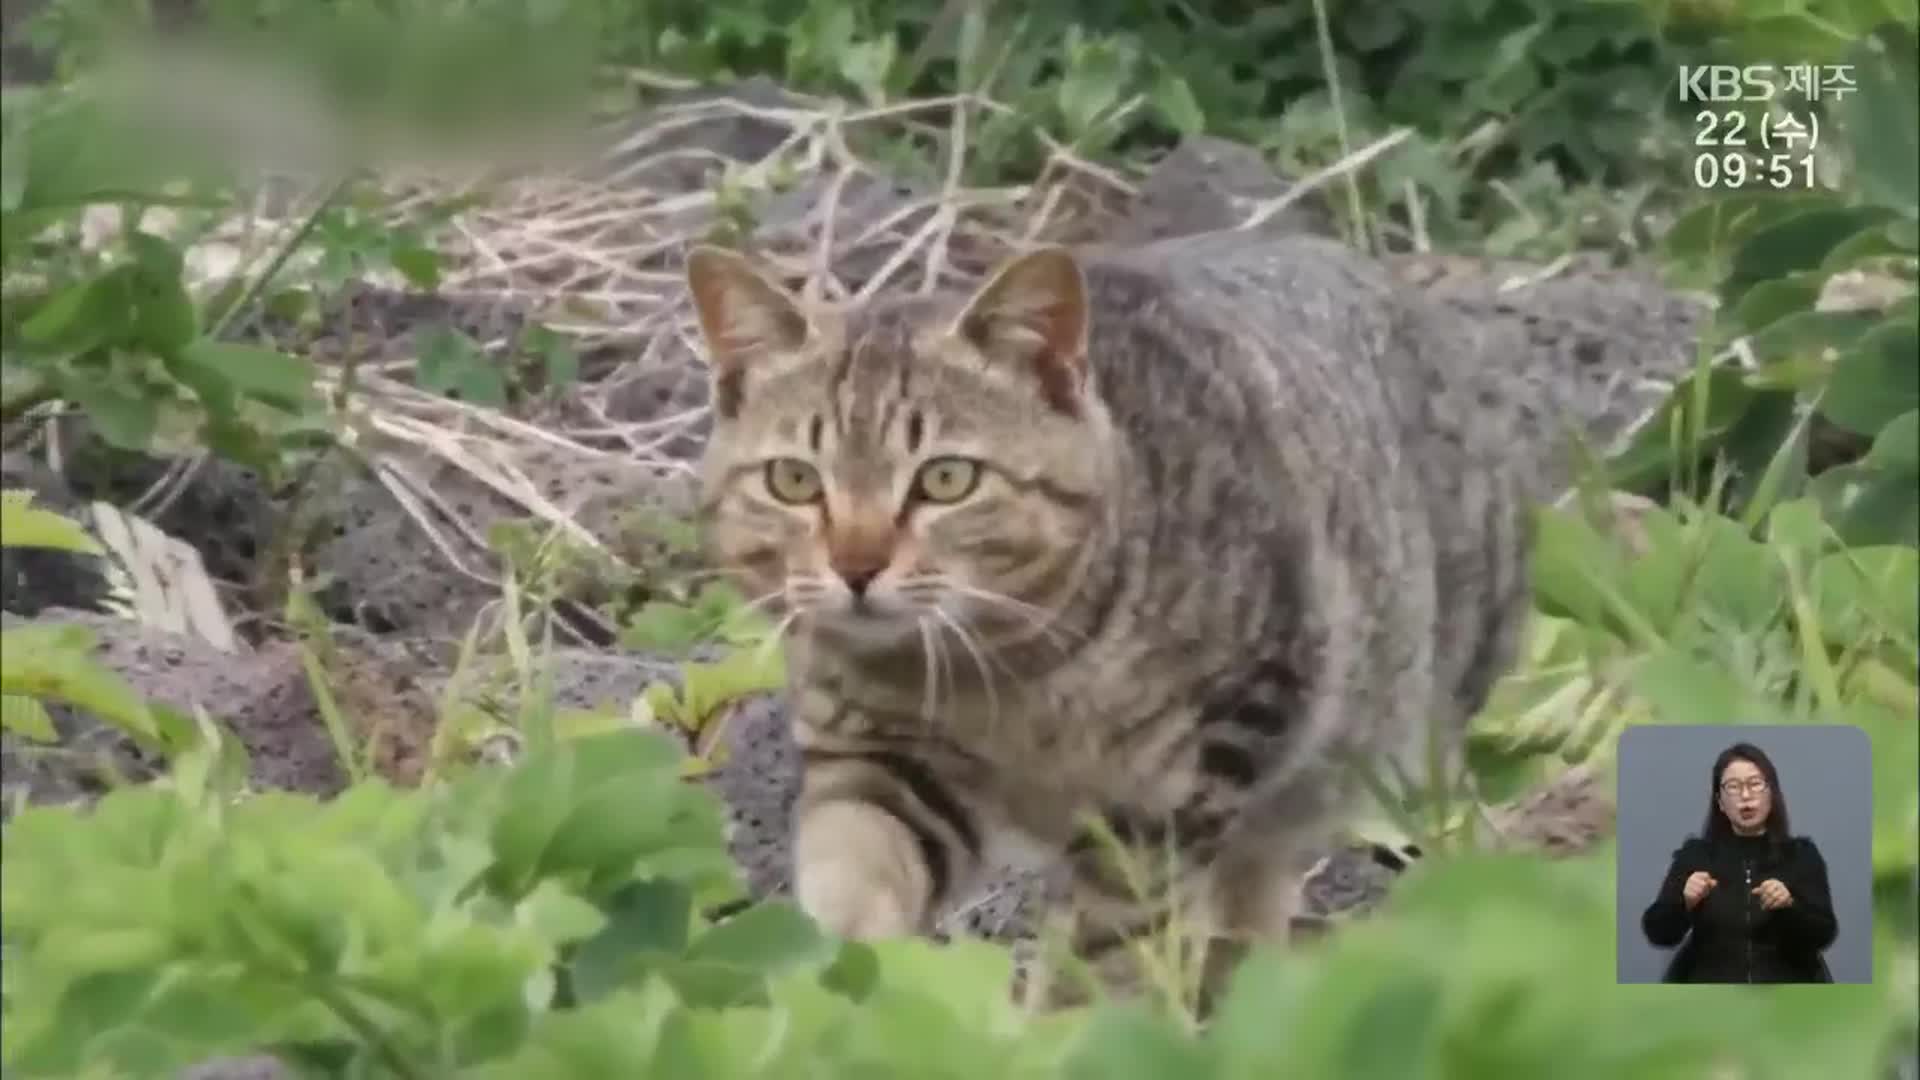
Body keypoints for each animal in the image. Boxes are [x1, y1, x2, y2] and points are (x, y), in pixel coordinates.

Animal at [683, 233, 1536, 983]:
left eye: (947, 479)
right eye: (794, 480)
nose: (855, 567)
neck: (1001, 683)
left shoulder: (1179, 788)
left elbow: (1109, 957)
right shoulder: (880, 761)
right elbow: (850, 898)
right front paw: (822, 1000)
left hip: (1403, 745)